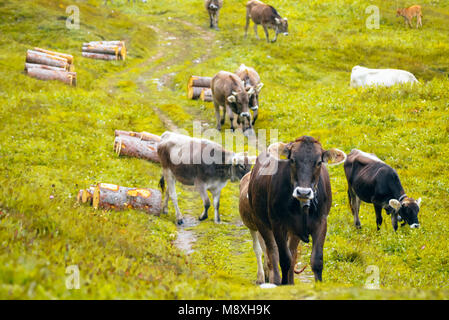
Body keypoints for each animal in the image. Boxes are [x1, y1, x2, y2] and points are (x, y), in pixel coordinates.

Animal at [247, 136, 344, 284]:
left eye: (319, 162)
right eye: (292, 160)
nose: (303, 192)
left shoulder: (321, 222)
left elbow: (316, 260)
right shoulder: (278, 223)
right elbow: (284, 259)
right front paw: (283, 284)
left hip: (294, 230)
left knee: (292, 253)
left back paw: (291, 282)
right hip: (261, 222)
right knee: (273, 252)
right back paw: (276, 280)